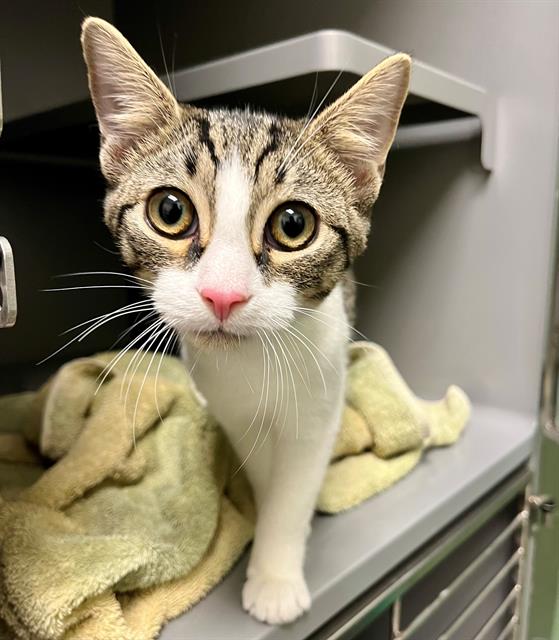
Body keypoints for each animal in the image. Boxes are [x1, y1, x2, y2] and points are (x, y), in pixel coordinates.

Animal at [80, 16, 412, 624]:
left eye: (292, 224)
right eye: (169, 211)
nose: (222, 294)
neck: (250, 364)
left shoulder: (318, 406)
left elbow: (295, 485)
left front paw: (276, 575)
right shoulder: (232, 409)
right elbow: (261, 465)